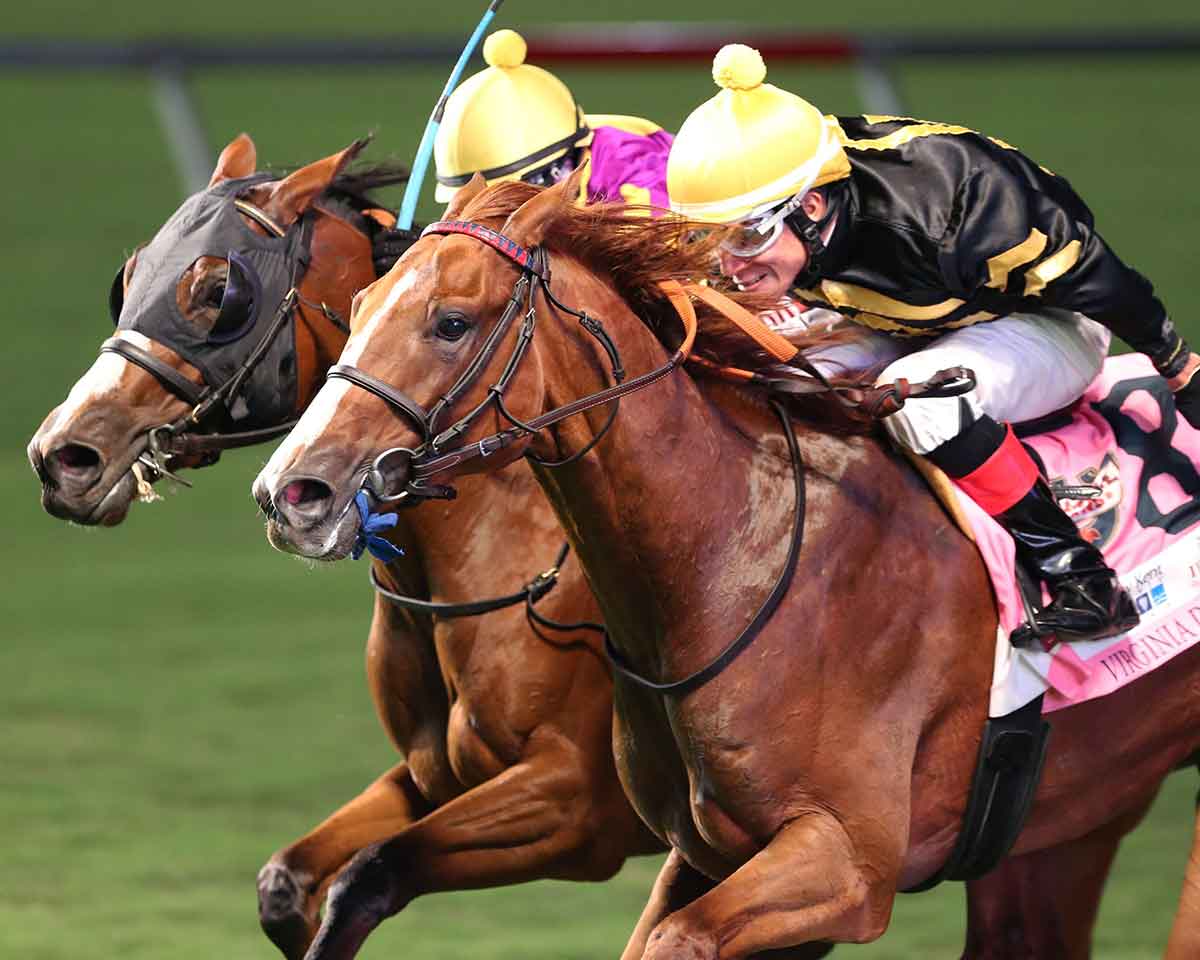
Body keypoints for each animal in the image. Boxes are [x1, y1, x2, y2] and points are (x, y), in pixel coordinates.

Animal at [250, 174, 1190, 960]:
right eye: (360, 305)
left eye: (451, 321)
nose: (292, 491)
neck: (732, 556)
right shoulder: (703, 850)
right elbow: (326, 878)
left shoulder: (838, 860)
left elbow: (675, 940)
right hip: (1069, 813)